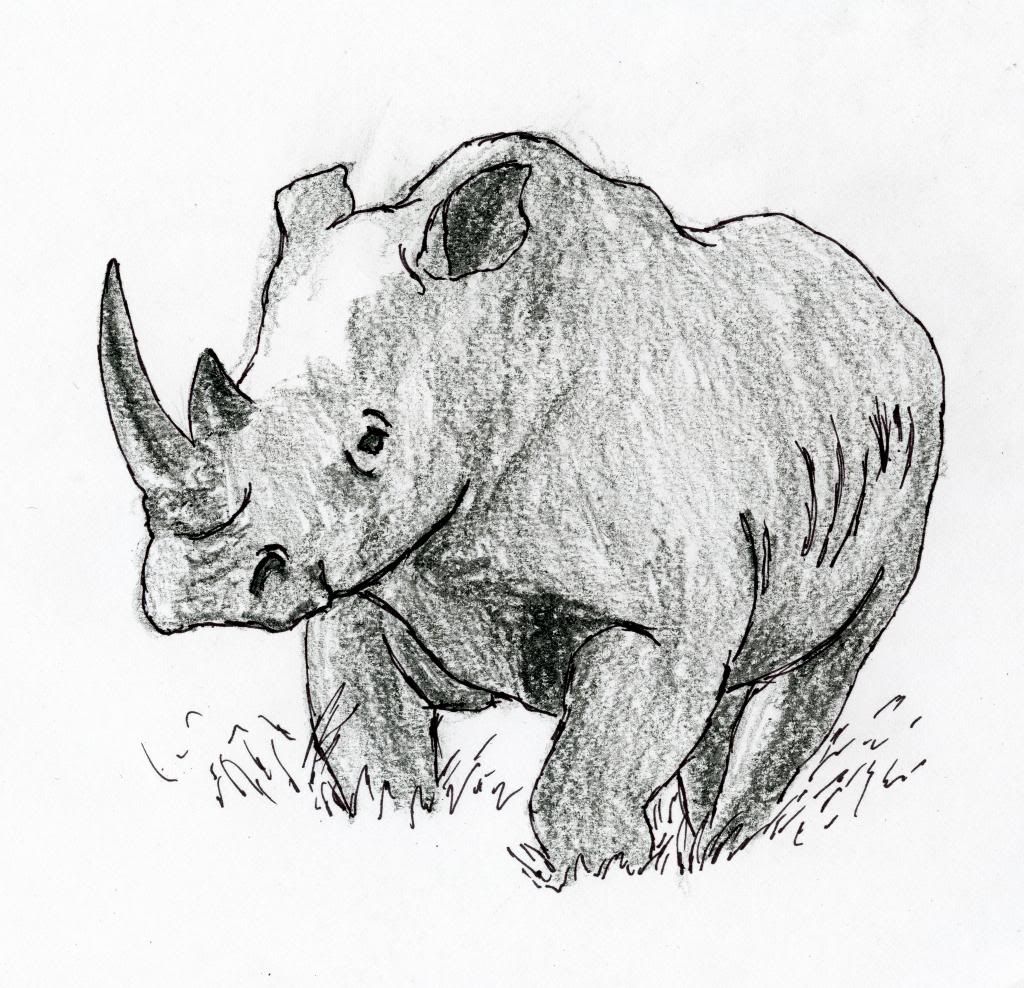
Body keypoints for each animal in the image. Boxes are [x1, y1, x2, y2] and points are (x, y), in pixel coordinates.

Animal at [100, 132, 943, 879]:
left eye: (373, 438)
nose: (205, 588)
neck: (487, 343)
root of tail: (886, 302)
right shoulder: (360, 587)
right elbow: (377, 763)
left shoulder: (662, 621)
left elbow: (582, 791)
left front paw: (606, 872)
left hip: (916, 436)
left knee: (828, 665)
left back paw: (724, 852)